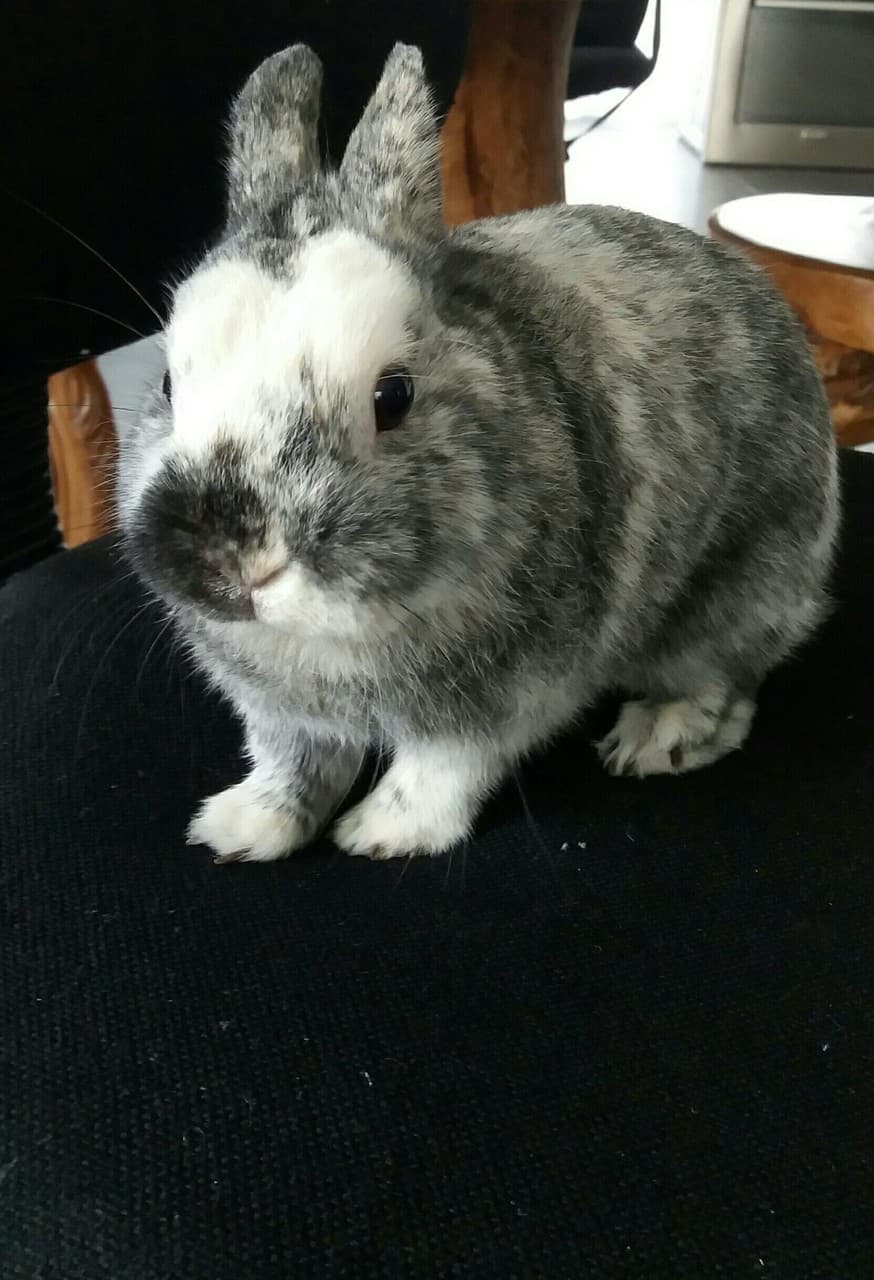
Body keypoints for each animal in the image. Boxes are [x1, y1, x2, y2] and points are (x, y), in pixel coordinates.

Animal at [116, 43, 839, 864]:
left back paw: (657, 737)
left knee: (727, 679)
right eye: (169, 382)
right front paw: (240, 829)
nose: (236, 563)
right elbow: (294, 764)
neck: (336, 639)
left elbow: (440, 774)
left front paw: (380, 835)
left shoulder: (495, 706)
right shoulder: (283, 716)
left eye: (393, 396)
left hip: (739, 587)